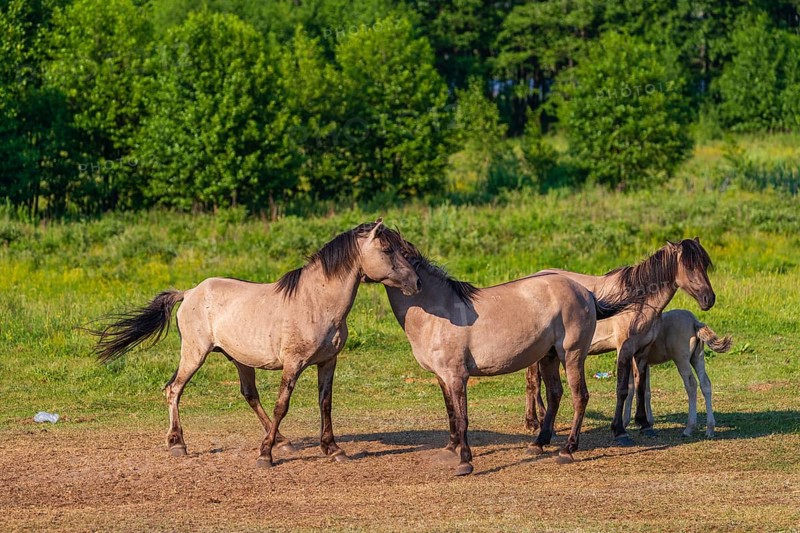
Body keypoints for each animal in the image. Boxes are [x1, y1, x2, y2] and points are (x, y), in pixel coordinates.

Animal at [89, 220, 420, 467]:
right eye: (387, 249)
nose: (416, 283)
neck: (316, 303)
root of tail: (189, 292)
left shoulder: (328, 362)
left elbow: (325, 404)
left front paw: (333, 449)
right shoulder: (293, 364)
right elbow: (281, 406)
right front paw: (265, 456)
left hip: (240, 360)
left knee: (249, 395)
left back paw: (283, 442)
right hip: (194, 354)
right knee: (173, 389)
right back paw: (178, 444)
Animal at [378, 232, 644, 476]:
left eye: (388, 250)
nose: (413, 284)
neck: (438, 310)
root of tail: (586, 292)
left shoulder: (457, 376)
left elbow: (462, 417)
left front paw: (465, 461)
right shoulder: (442, 376)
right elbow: (451, 412)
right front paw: (450, 450)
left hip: (572, 355)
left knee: (580, 397)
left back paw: (567, 449)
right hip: (548, 357)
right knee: (555, 394)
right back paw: (538, 443)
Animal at [524, 238, 715, 447]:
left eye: (705, 265)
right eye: (689, 266)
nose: (709, 299)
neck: (636, 301)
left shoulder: (642, 351)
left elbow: (640, 387)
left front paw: (644, 424)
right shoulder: (625, 349)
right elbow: (622, 389)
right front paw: (619, 431)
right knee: (534, 382)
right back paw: (536, 422)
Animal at [623, 309, 732, 438]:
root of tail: (694, 322)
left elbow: (631, 389)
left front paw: (626, 422)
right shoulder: (645, 363)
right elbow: (646, 390)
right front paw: (648, 422)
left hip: (681, 360)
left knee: (691, 385)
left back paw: (689, 429)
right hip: (697, 358)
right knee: (705, 383)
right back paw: (710, 429)